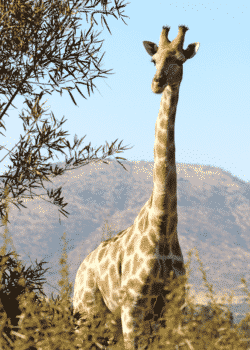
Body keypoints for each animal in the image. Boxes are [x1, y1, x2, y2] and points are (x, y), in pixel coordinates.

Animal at [72, 25, 199, 350]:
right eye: (153, 60)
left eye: (179, 59)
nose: (156, 84)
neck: (163, 224)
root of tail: (80, 269)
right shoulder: (133, 305)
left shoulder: (172, 310)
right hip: (86, 313)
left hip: (108, 322)